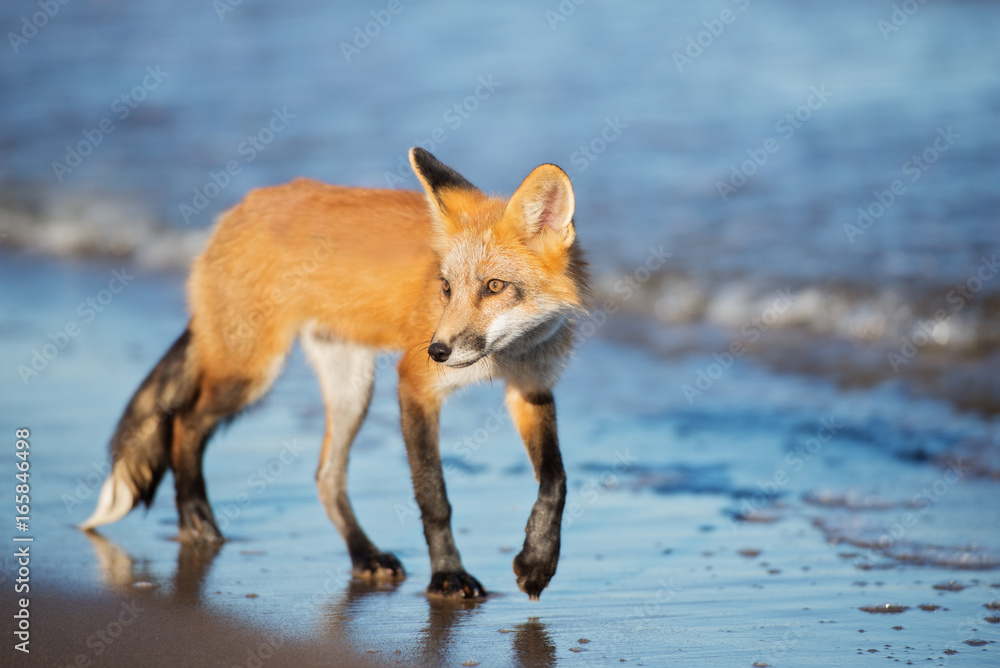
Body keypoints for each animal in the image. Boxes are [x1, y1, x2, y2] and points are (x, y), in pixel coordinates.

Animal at [80, 148, 590, 600]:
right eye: (446, 288)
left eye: (495, 286)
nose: (437, 351)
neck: (510, 354)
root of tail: (239, 209)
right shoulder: (415, 386)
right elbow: (434, 496)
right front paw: (447, 575)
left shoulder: (532, 389)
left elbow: (556, 481)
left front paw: (538, 562)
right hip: (250, 374)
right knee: (186, 422)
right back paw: (195, 519)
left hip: (350, 387)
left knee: (327, 477)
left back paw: (363, 554)